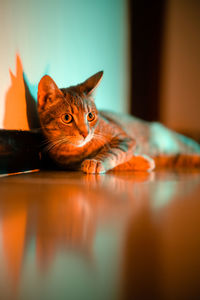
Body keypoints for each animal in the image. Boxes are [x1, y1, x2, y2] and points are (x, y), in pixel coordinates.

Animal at [37, 71, 200, 173]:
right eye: (67, 118)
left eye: (90, 116)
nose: (85, 133)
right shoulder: (67, 163)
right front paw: (143, 162)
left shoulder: (125, 139)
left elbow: (114, 152)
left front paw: (97, 161)